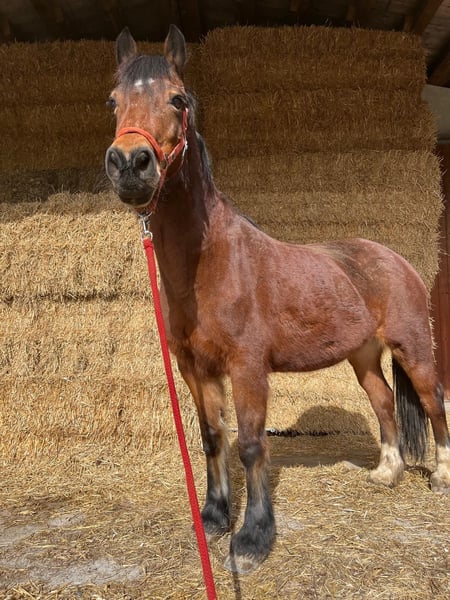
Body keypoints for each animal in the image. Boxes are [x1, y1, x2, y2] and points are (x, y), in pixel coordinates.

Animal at [105, 25, 450, 574]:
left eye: (178, 100)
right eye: (113, 100)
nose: (130, 165)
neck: (212, 261)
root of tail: (398, 261)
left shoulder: (247, 368)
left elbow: (249, 445)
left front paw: (252, 539)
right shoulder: (195, 368)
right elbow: (212, 437)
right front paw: (214, 518)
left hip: (412, 349)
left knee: (434, 401)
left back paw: (439, 476)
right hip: (363, 355)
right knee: (383, 403)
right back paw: (387, 473)